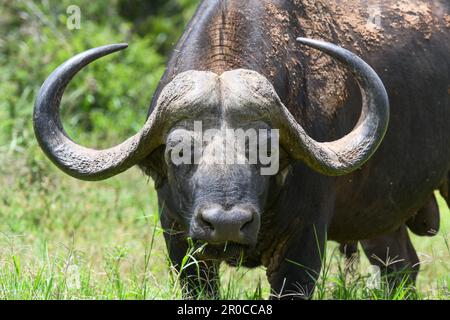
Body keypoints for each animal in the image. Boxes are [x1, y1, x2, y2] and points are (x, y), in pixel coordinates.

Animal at [33, 0, 448, 300]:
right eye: (177, 152)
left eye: (268, 150)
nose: (227, 223)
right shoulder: (180, 244)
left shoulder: (302, 247)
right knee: (400, 267)